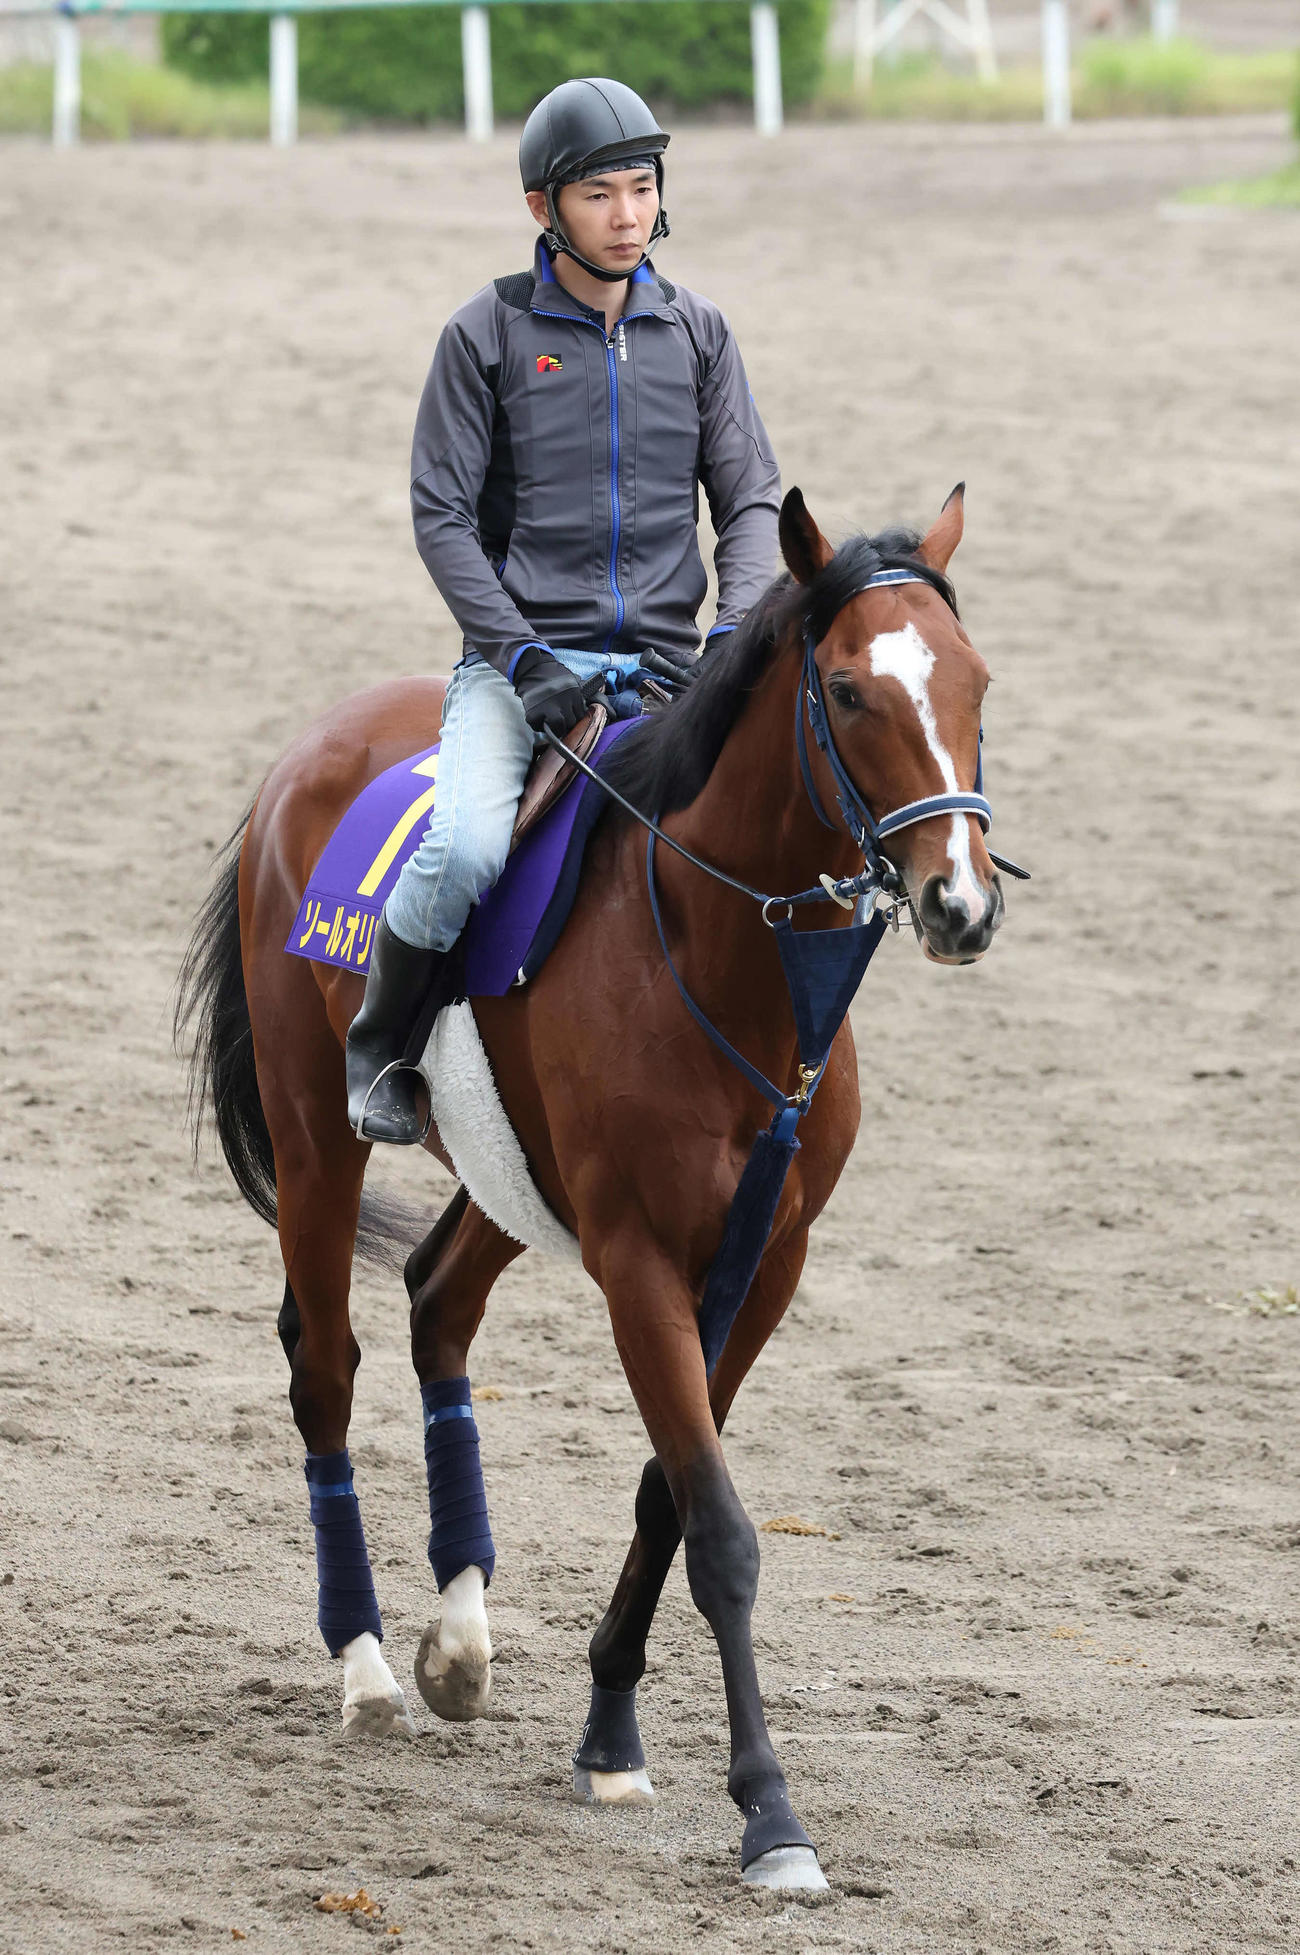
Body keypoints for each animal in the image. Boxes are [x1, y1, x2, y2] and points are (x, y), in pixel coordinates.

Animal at [176, 486, 1008, 1893]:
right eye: (846, 691)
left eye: (975, 682)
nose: (958, 902)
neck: (727, 963)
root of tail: (313, 748)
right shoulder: (636, 1258)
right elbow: (718, 1524)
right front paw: (770, 1812)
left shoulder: (763, 1261)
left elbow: (670, 1489)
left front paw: (611, 1730)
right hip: (314, 1133)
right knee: (326, 1365)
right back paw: (368, 1667)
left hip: (507, 1178)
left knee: (436, 1301)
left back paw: (460, 1637)